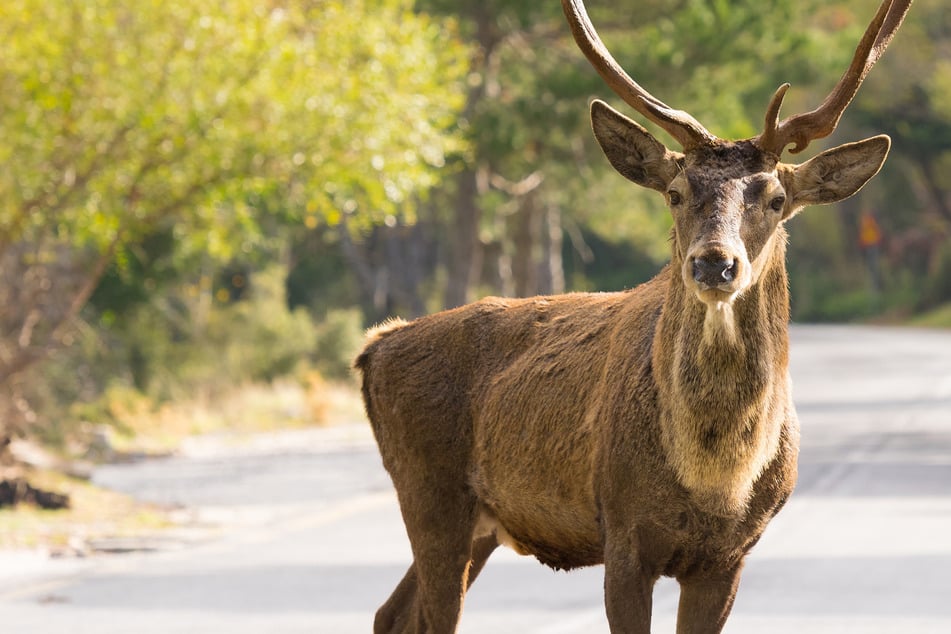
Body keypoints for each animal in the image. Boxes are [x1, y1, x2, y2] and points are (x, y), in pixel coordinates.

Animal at [356, 2, 916, 628]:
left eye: (776, 199)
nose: (714, 263)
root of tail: (373, 350)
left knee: (391, 613)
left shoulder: (730, 557)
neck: (715, 484)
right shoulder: (624, 536)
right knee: (426, 615)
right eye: (675, 192)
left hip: (479, 523)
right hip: (428, 493)